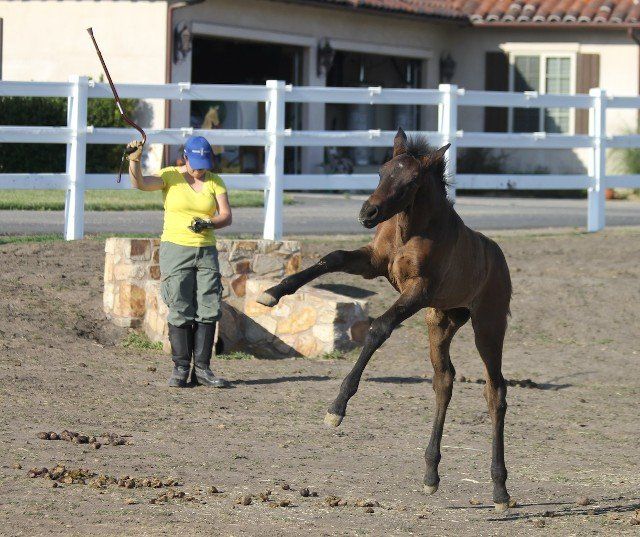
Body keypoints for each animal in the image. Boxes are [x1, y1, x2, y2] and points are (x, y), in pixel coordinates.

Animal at [257, 128, 513, 512]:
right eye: (382, 172)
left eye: (410, 183)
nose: (368, 212)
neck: (410, 230)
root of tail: (499, 258)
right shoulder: (373, 262)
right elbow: (332, 257)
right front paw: (272, 292)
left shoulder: (419, 290)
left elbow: (379, 328)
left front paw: (337, 407)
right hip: (441, 321)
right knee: (444, 381)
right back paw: (431, 475)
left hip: (488, 326)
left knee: (495, 391)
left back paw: (500, 490)